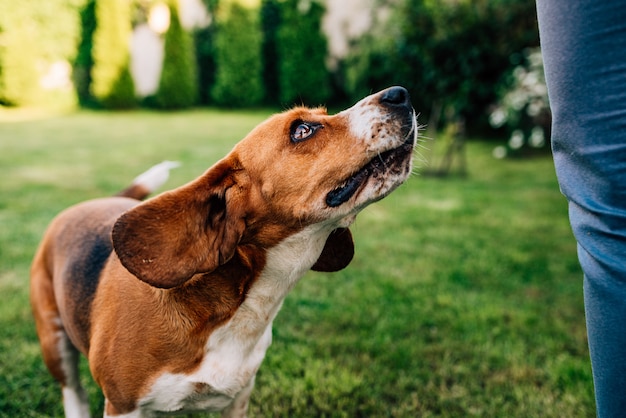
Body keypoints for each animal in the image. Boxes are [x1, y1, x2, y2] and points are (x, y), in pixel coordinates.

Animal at [31, 86, 416, 416]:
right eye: (302, 130)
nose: (401, 94)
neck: (244, 309)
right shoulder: (124, 406)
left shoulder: (238, 399)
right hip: (54, 341)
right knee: (73, 391)